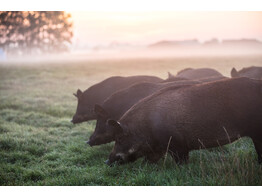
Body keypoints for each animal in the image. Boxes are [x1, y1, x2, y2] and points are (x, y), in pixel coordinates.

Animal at [105, 77, 262, 166]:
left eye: (119, 138)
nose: (107, 161)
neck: (145, 127)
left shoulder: (177, 144)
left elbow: (181, 162)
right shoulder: (158, 149)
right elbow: (149, 160)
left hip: (257, 131)